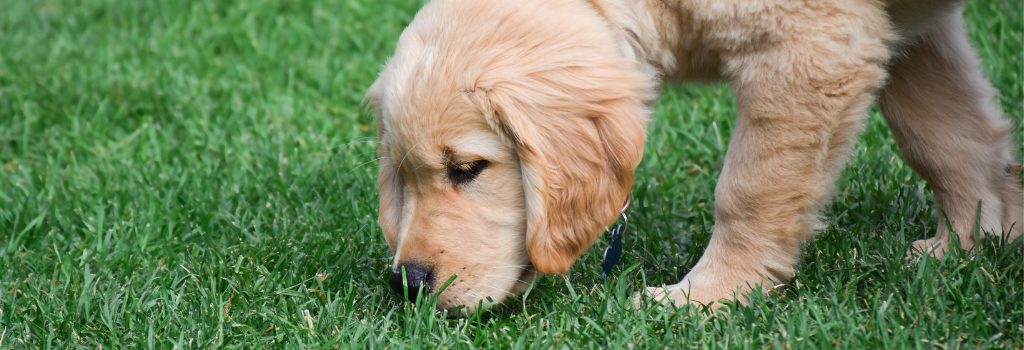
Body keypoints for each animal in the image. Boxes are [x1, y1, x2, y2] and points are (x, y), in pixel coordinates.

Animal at [368, 0, 1024, 315]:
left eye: (467, 169)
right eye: (403, 176)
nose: (408, 285)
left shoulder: (812, 44)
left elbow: (748, 191)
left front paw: (709, 297)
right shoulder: (892, 27)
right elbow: (945, 136)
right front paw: (970, 243)